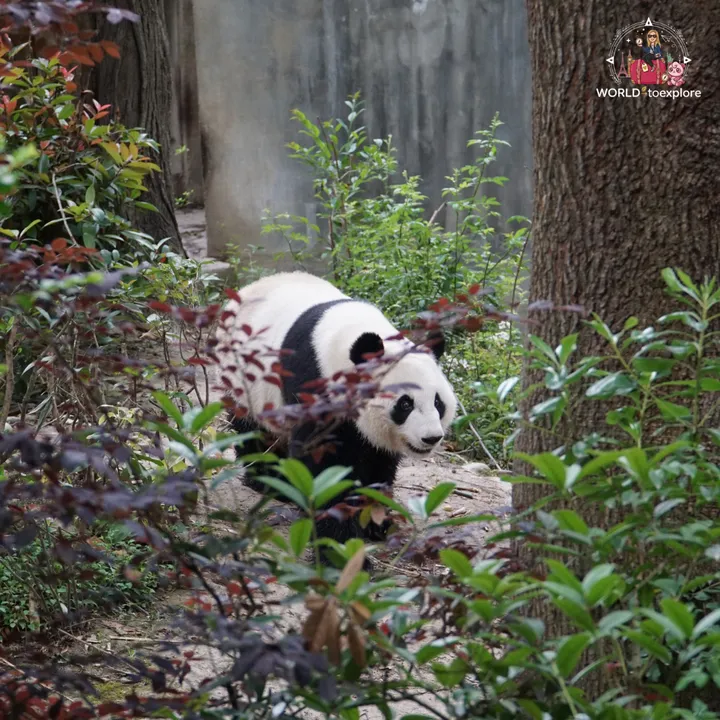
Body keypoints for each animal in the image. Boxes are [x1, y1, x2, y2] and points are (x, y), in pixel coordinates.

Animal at [214, 271, 458, 550]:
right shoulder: (314, 383)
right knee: (253, 431)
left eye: (438, 403)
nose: (431, 437)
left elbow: (378, 462)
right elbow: (323, 461)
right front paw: (339, 539)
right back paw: (269, 480)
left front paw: (377, 522)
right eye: (405, 404)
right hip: (243, 381)